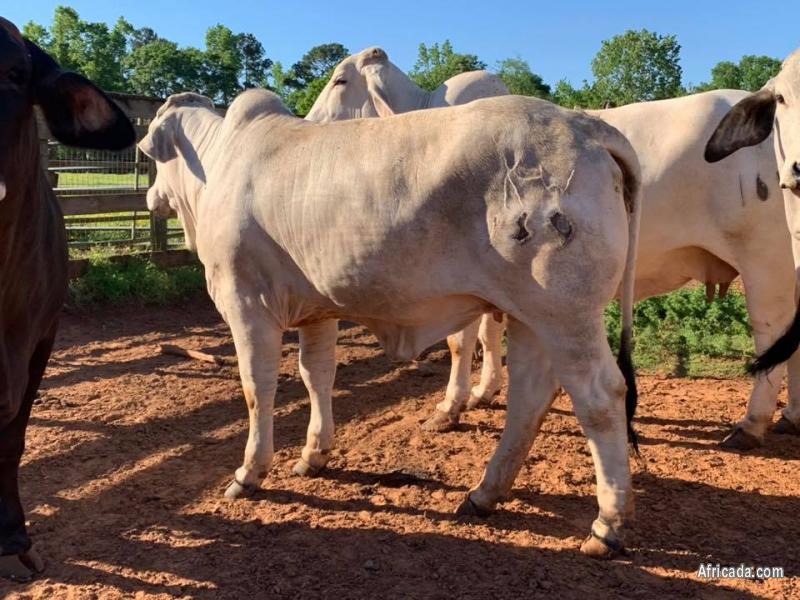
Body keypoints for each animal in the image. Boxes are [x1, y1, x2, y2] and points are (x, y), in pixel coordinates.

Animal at [139, 89, 641, 557]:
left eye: (153, 158)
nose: (149, 197)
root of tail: (586, 126)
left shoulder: (247, 305)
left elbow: (256, 389)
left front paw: (249, 473)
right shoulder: (316, 310)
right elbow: (316, 375)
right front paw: (314, 454)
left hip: (565, 315)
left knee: (600, 398)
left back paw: (607, 526)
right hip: (529, 315)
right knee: (529, 396)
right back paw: (484, 494)